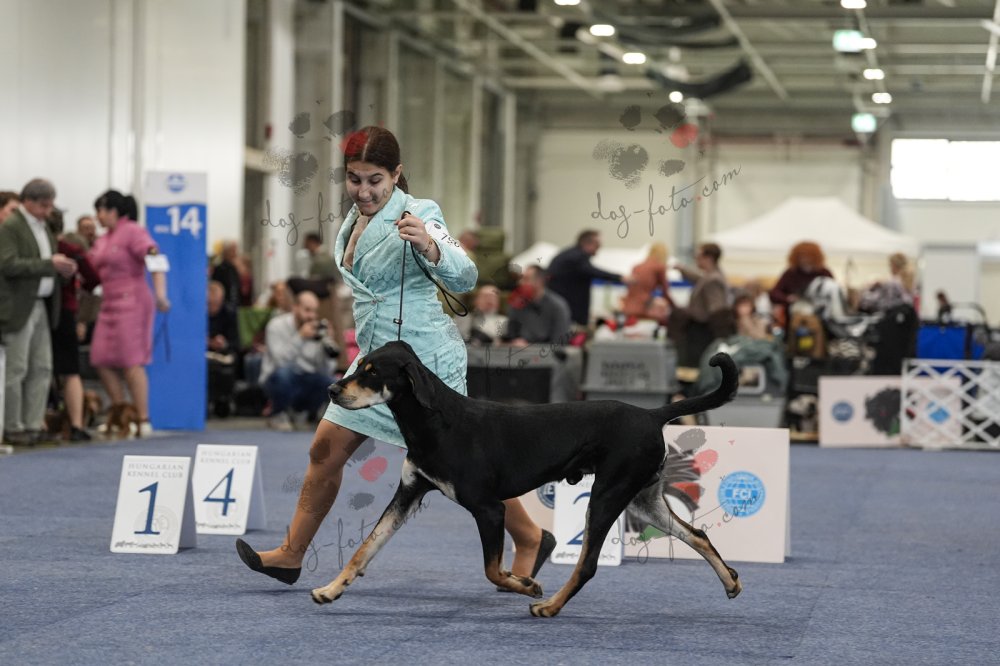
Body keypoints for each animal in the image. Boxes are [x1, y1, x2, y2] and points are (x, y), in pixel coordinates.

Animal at [312, 340, 741, 617]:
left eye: (372, 373)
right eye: (359, 365)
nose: (332, 389)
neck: (436, 422)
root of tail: (652, 414)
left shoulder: (488, 509)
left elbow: (492, 569)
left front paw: (526, 584)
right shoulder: (408, 494)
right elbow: (365, 548)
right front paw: (330, 590)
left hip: (607, 496)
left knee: (587, 564)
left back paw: (548, 606)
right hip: (644, 499)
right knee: (697, 535)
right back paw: (731, 582)